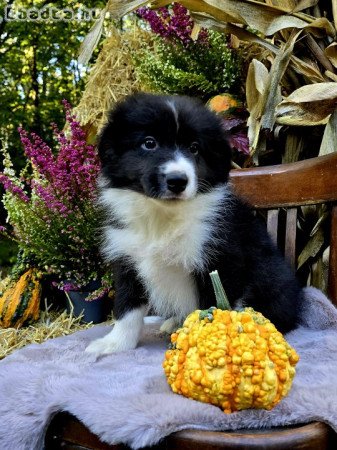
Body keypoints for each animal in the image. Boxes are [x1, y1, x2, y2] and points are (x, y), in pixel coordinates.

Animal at [84, 94, 302, 356]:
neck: (163, 217)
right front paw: (114, 344)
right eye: (149, 143)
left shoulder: (220, 261)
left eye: (194, 148)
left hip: (270, 278)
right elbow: (127, 306)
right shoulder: (128, 259)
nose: (178, 181)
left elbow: (214, 307)